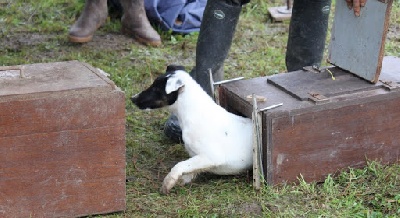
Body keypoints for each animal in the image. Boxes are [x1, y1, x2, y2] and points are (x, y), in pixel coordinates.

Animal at [131, 65, 252, 194]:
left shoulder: (212, 157)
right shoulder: (198, 158)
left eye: (156, 89)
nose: (132, 99)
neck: (193, 113)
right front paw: (181, 181)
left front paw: (168, 183)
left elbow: (180, 165)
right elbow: (189, 169)